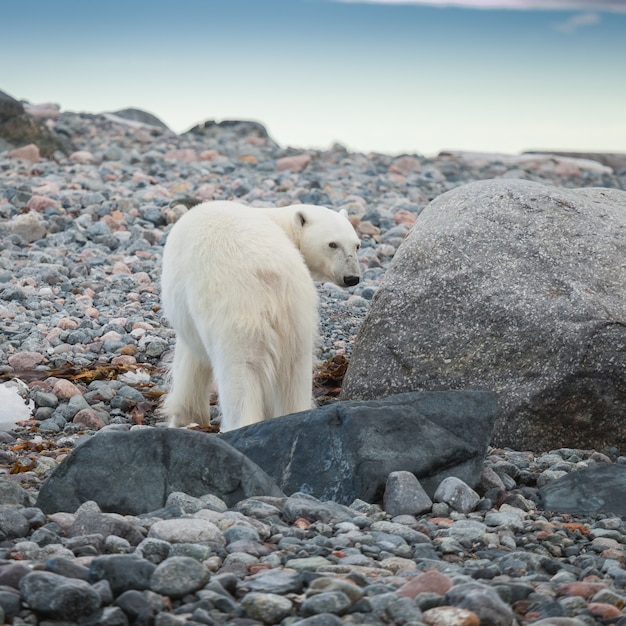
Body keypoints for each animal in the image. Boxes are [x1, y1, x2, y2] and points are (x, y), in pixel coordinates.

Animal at [160, 200, 360, 428]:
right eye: (332, 244)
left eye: (356, 245)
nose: (352, 277)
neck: (279, 222)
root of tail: (273, 276)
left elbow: (190, 360)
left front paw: (184, 417)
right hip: (296, 312)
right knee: (295, 372)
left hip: (236, 310)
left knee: (240, 373)